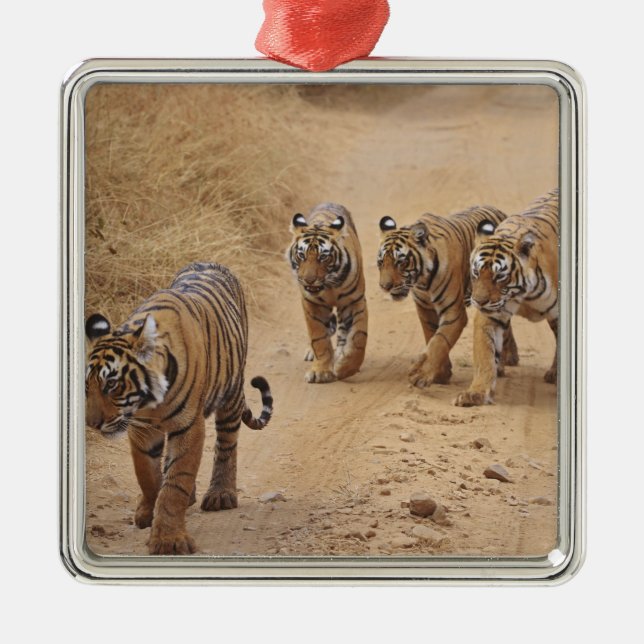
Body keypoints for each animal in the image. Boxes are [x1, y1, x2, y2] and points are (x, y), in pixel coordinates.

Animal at [85, 262, 273, 555]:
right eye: (88, 385)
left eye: (112, 384)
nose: (91, 424)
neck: (150, 401)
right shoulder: (141, 429)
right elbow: (148, 475)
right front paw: (147, 512)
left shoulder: (188, 426)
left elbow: (176, 482)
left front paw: (168, 540)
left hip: (230, 393)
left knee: (226, 444)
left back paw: (221, 494)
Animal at [287, 202, 368, 383]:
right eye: (301, 255)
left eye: (323, 257)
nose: (308, 280)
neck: (329, 285)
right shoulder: (312, 305)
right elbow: (319, 340)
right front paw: (321, 371)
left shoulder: (354, 301)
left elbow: (359, 337)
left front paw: (345, 368)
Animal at [377, 205, 519, 389]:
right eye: (381, 262)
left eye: (400, 262)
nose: (385, 286)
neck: (423, 281)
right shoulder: (425, 309)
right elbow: (431, 336)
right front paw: (442, 374)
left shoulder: (454, 313)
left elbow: (440, 341)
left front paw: (422, 375)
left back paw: (501, 365)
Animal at [454, 189, 559, 407]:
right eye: (476, 272)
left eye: (499, 276)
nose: (479, 301)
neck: (524, 294)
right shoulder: (491, 315)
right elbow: (485, 355)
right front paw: (475, 393)